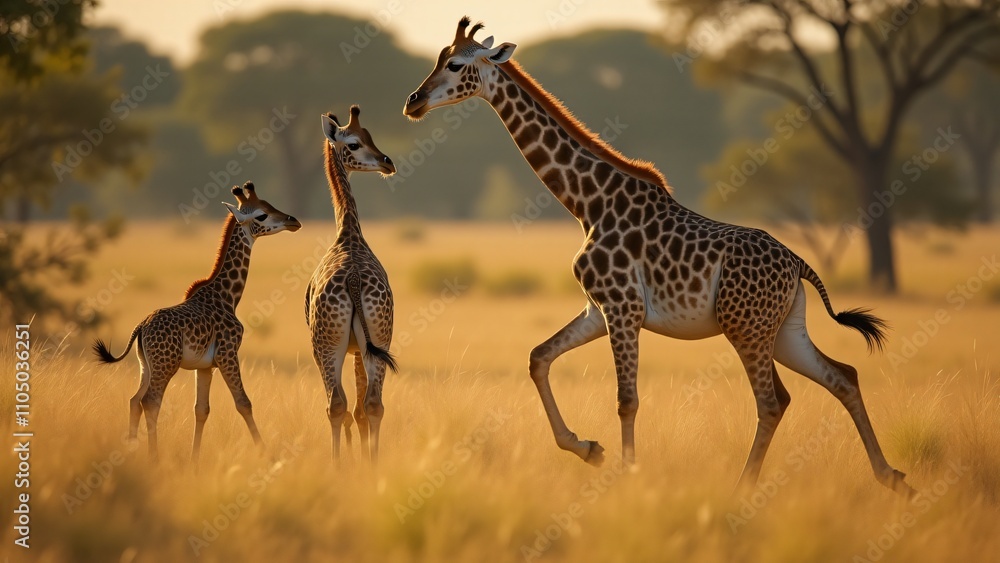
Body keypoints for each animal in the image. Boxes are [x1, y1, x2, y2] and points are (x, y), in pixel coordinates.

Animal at [93, 182, 301, 463]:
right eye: (261, 215)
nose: (293, 221)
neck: (227, 296)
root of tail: (142, 326)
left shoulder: (205, 366)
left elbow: (201, 410)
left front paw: (194, 460)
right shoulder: (228, 353)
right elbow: (244, 403)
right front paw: (266, 454)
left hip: (145, 364)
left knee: (134, 400)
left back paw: (131, 451)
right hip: (165, 364)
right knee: (150, 401)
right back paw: (153, 457)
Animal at [305, 106, 398, 465]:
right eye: (355, 143)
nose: (388, 162)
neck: (348, 232)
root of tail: (355, 281)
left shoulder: (350, 348)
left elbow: (347, 409)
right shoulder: (364, 346)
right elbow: (361, 409)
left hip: (326, 346)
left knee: (337, 405)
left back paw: (337, 466)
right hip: (380, 338)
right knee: (372, 404)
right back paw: (372, 465)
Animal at [403, 17, 914, 496]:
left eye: (455, 64)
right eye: (440, 57)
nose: (413, 102)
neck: (587, 204)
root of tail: (796, 264)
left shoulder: (623, 308)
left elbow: (626, 399)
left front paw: (626, 477)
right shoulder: (598, 308)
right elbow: (538, 358)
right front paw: (588, 449)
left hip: (746, 328)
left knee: (773, 401)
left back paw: (742, 488)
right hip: (785, 329)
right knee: (842, 376)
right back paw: (891, 477)